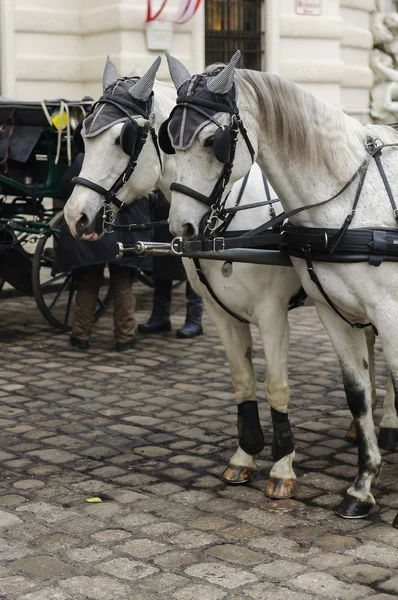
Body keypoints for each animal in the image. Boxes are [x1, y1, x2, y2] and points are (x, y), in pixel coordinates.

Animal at [164, 52, 398, 520]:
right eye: (168, 140)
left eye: (211, 142)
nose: (180, 228)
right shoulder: (334, 313)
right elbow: (357, 393)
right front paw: (362, 486)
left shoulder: (389, 311)